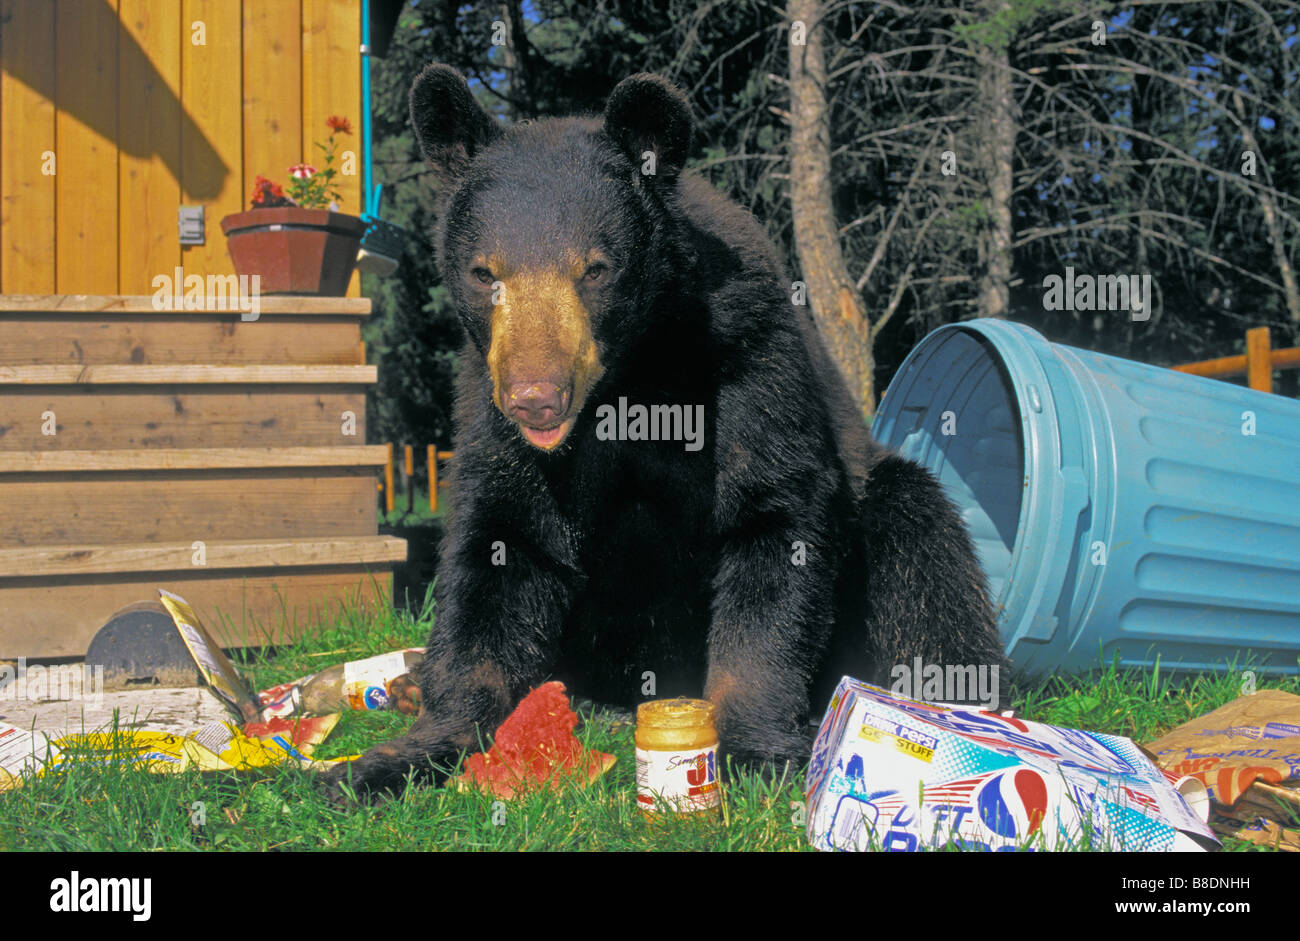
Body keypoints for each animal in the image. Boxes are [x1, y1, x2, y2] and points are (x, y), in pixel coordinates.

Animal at [322, 63, 1007, 800]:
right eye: (485, 272)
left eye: (595, 269)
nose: (537, 400)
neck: (630, 380)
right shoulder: (487, 405)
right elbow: (497, 552)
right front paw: (388, 759)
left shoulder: (747, 356)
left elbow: (773, 520)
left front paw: (755, 748)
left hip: (890, 511)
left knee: (923, 550)